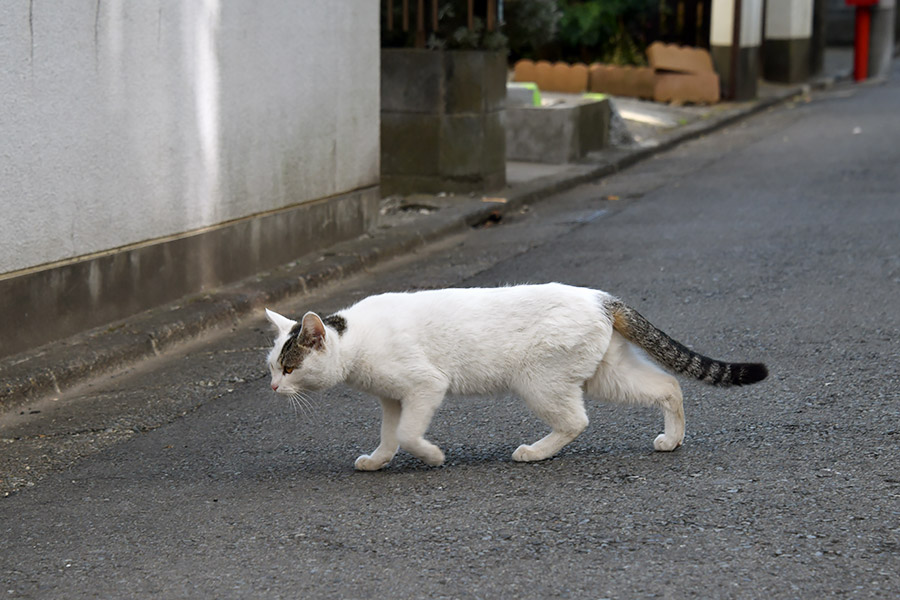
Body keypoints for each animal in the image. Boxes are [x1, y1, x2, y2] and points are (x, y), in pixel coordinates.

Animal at [262, 284, 768, 472]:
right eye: (270, 367)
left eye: (289, 367)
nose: (272, 388)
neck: (355, 340)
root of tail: (602, 297)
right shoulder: (392, 398)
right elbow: (390, 435)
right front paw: (377, 460)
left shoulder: (425, 386)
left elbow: (407, 434)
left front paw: (433, 456)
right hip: (609, 374)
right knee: (670, 385)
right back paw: (672, 439)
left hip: (539, 381)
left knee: (576, 421)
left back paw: (535, 452)